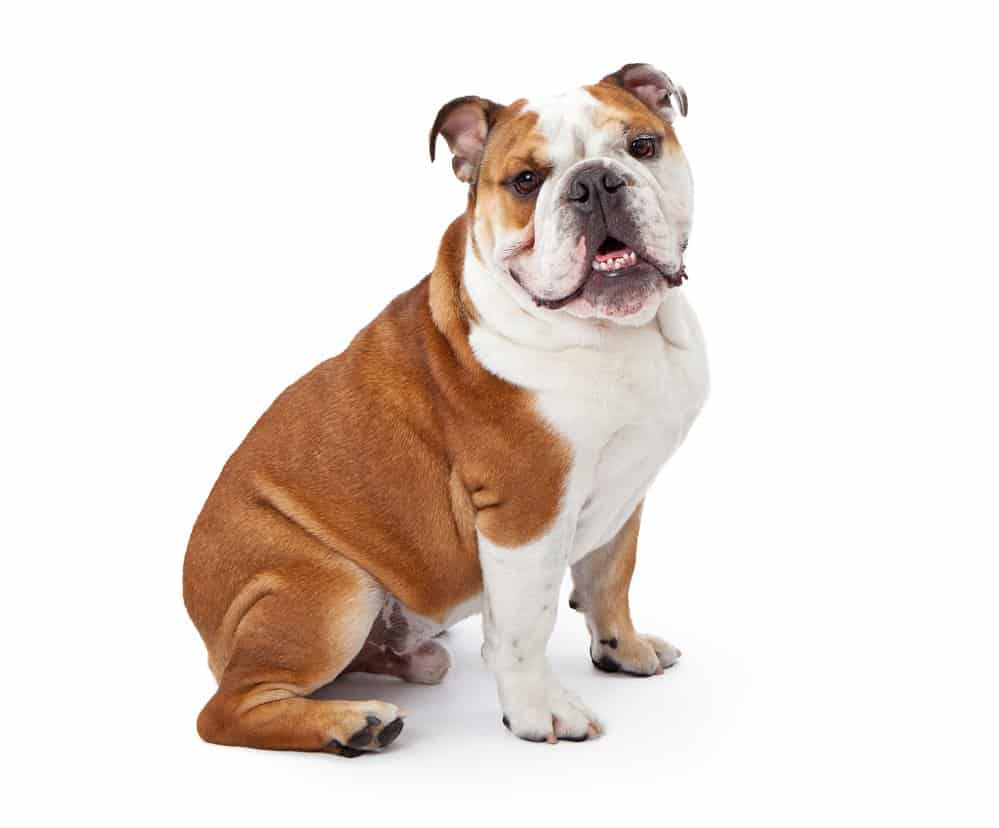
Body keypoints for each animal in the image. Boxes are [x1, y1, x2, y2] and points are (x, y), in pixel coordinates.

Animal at [184, 61, 708, 752]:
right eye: (525, 181)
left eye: (642, 146)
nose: (595, 181)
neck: (618, 334)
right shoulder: (527, 511)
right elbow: (525, 626)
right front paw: (540, 710)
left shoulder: (628, 490)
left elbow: (609, 577)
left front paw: (624, 649)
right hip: (331, 589)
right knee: (225, 711)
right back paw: (353, 724)